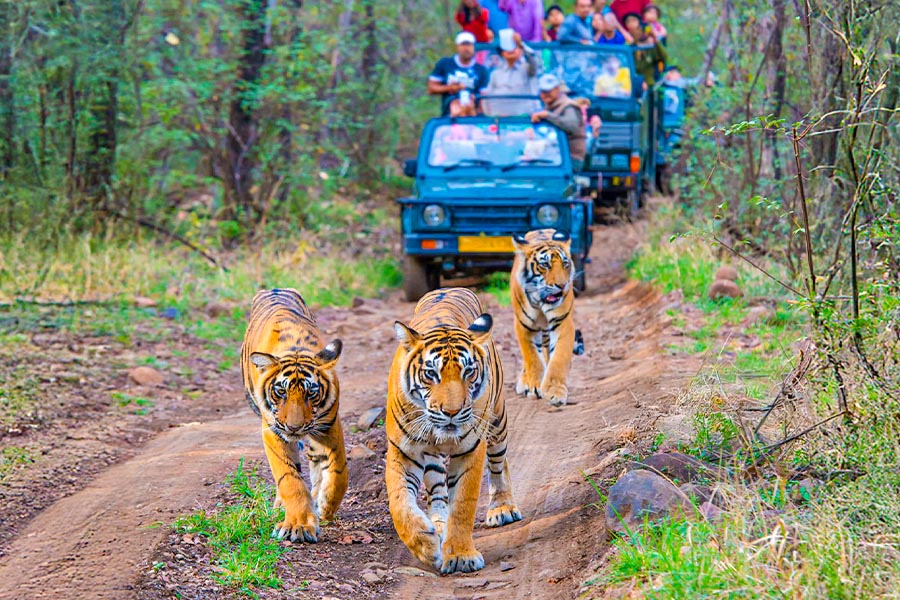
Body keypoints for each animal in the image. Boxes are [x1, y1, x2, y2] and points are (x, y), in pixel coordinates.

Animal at [239, 290, 348, 544]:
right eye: (281, 391)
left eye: (311, 393)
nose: (294, 427)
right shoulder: (273, 430)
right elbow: (289, 478)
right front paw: (298, 524)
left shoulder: (329, 425)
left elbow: (339, 471)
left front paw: (325, 506)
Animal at [384, 288, 520, 576]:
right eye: (430, 373)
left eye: (468, 372)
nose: (452, 412)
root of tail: (450, 288)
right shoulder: (403, 451)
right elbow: (399, 503)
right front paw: (424, 543)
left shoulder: (471, 449)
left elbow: (464, 505)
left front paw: (460, 556)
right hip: (433, 456)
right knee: (437, 487)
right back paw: (437, 523)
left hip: (497, 422)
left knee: (499, 464)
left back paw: (502, 508)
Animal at [510, 230, 580, 408]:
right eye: (545, 265)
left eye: (565, 264)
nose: (562, 285)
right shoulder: (523, 326)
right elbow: (532, 357)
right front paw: (534, 386)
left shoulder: (562, 323)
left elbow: (558, 358)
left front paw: (554, 391)